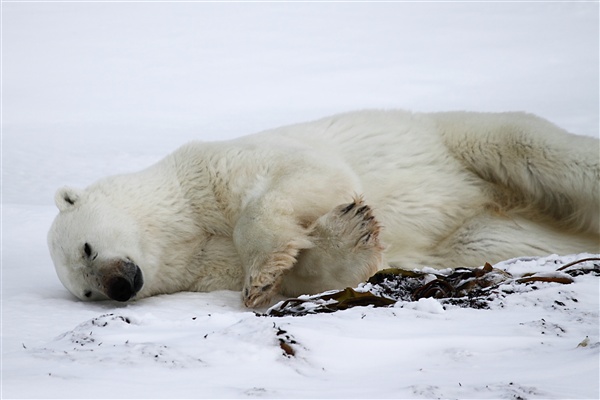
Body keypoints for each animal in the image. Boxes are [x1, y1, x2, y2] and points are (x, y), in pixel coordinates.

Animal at [48, 111, 600, 308]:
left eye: (87, 247)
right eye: (86, 291)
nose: (120, 285)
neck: (184, 221)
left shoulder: (213, 168)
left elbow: (310, 174)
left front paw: (261, 270)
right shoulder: (205, 267)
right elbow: (305, 271)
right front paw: (352, 237)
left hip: (463, 142)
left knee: (538, 150)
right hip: (481, 232)